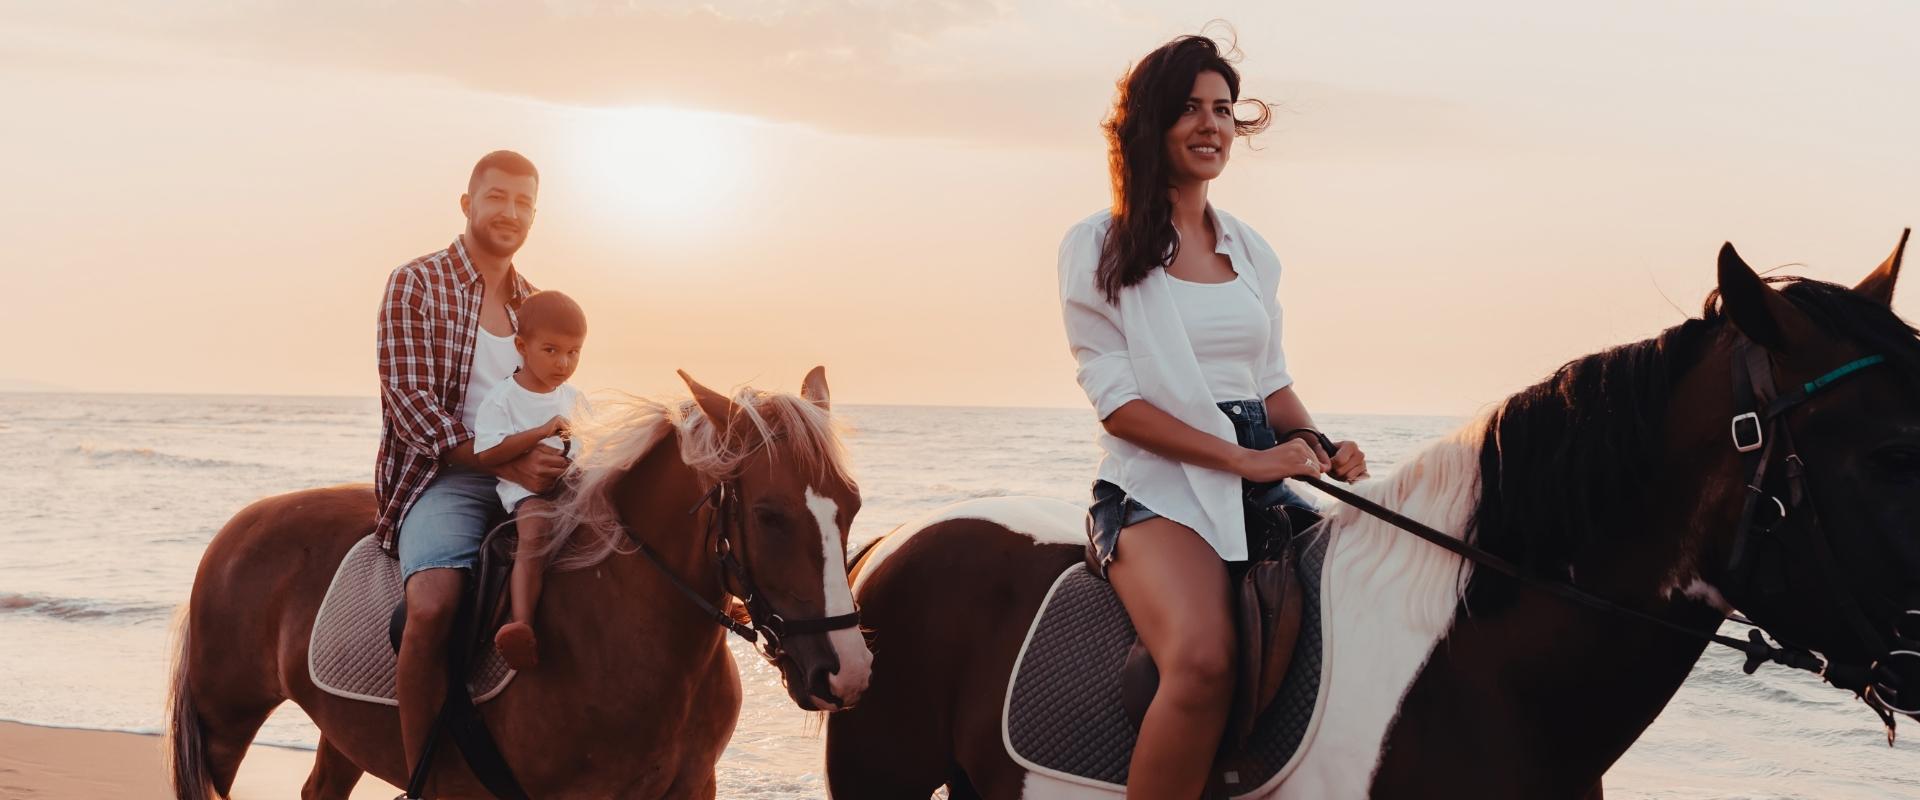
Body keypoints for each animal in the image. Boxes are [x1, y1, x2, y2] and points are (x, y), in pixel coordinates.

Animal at [165, 370, 871, 798]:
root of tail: (239, 527)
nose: (847, 670)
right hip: (225, 723)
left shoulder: (693, 787)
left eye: (852, 504)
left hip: (343, 733)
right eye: (769, 515)